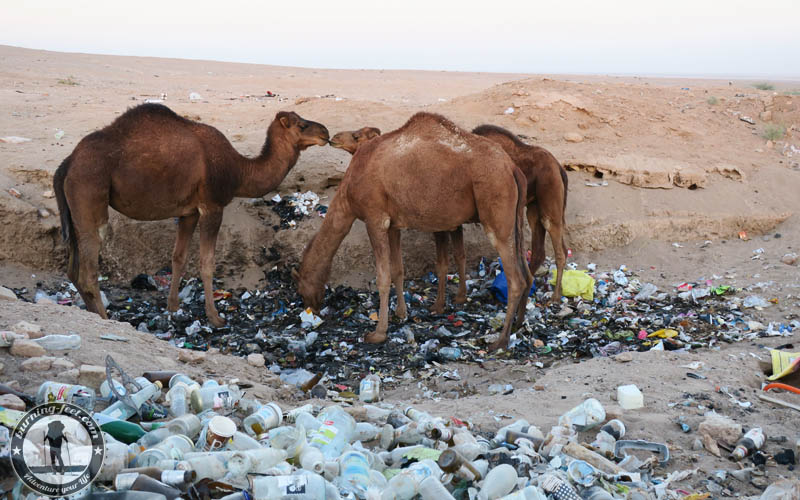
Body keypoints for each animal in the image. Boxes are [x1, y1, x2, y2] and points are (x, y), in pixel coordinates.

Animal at [54, 103, 328, 326]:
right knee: (88, 270)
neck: (239, 170)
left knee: (73, 268)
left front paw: (173, 307)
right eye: (302, 125)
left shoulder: (189, 212)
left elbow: (179, 257)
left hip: (73, 208)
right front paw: (215, 318)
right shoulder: (212, 206)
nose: (325, 132)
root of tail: (67, 163)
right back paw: (105, 318)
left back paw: (91, 313)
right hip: (89, 190)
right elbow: (206, 263)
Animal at [294, 112, 532, 350]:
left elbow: (383, 276)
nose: (311, 308)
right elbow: (398, 270)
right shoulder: (393, 225)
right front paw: (401, 313)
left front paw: (378, 333)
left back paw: (500, 341)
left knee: (516, 279)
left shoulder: (375, 218)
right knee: (526, 273)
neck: (347, 194)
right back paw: (519, 324)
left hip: (496, 206)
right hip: (516, 218)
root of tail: (512, 168)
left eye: (301, 285)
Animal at [432, 124, 568, 312]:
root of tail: (558, 166)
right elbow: (459, 254)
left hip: (550, 198)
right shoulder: (454, 220)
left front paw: (440, 305)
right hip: (533, 208)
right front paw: (459, 298)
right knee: (539, 250)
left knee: (560, 249)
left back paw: (554, 297)